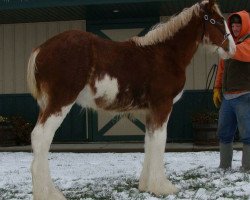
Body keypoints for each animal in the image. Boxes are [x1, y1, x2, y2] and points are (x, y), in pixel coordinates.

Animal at [27, 0, 236, 199]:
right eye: (218, 21)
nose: (232, 49)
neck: (165, 53)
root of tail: (41, 49)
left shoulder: (150, 111)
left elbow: (149, 141)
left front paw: (146, 185)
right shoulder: (162, 106)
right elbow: (160, 141)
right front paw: (163, 187)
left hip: (47, 104)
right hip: (60, 102)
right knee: (41, 137)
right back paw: (48, 194)